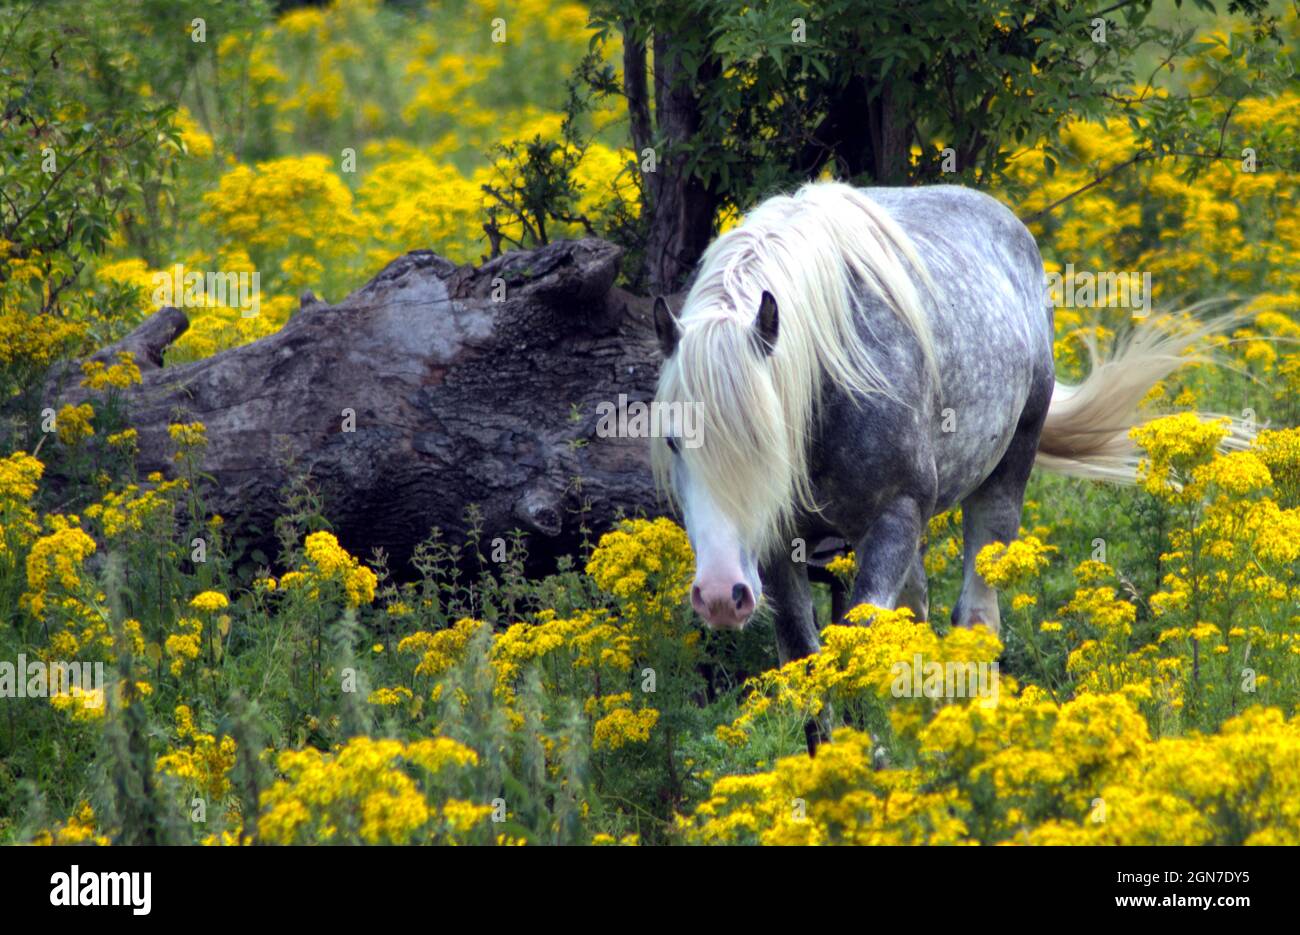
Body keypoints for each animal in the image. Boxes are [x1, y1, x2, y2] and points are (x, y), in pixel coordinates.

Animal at [651, 180, 1225, 668]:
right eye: (673, 441)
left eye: (767, 441)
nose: (720, 595)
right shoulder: (776, 549)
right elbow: (811, 670)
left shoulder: (892, 519)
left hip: (1003, 478)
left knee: (977, 618)